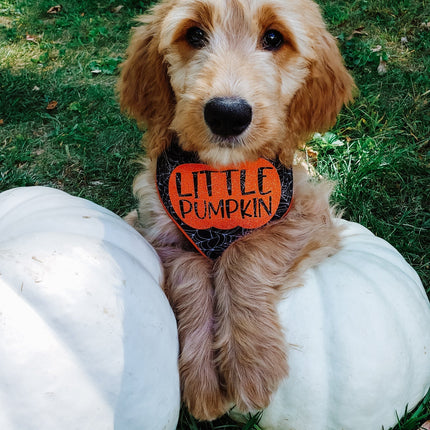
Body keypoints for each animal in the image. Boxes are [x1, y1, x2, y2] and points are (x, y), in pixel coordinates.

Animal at [116, 0, 352, 422]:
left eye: (273, 38)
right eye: (194, 34)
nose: (227, 114)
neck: (222, 178)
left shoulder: (309, 210)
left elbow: (245, 249)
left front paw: (250, 364)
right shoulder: (152, 230)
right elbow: (190, 270)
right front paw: (204, 381)